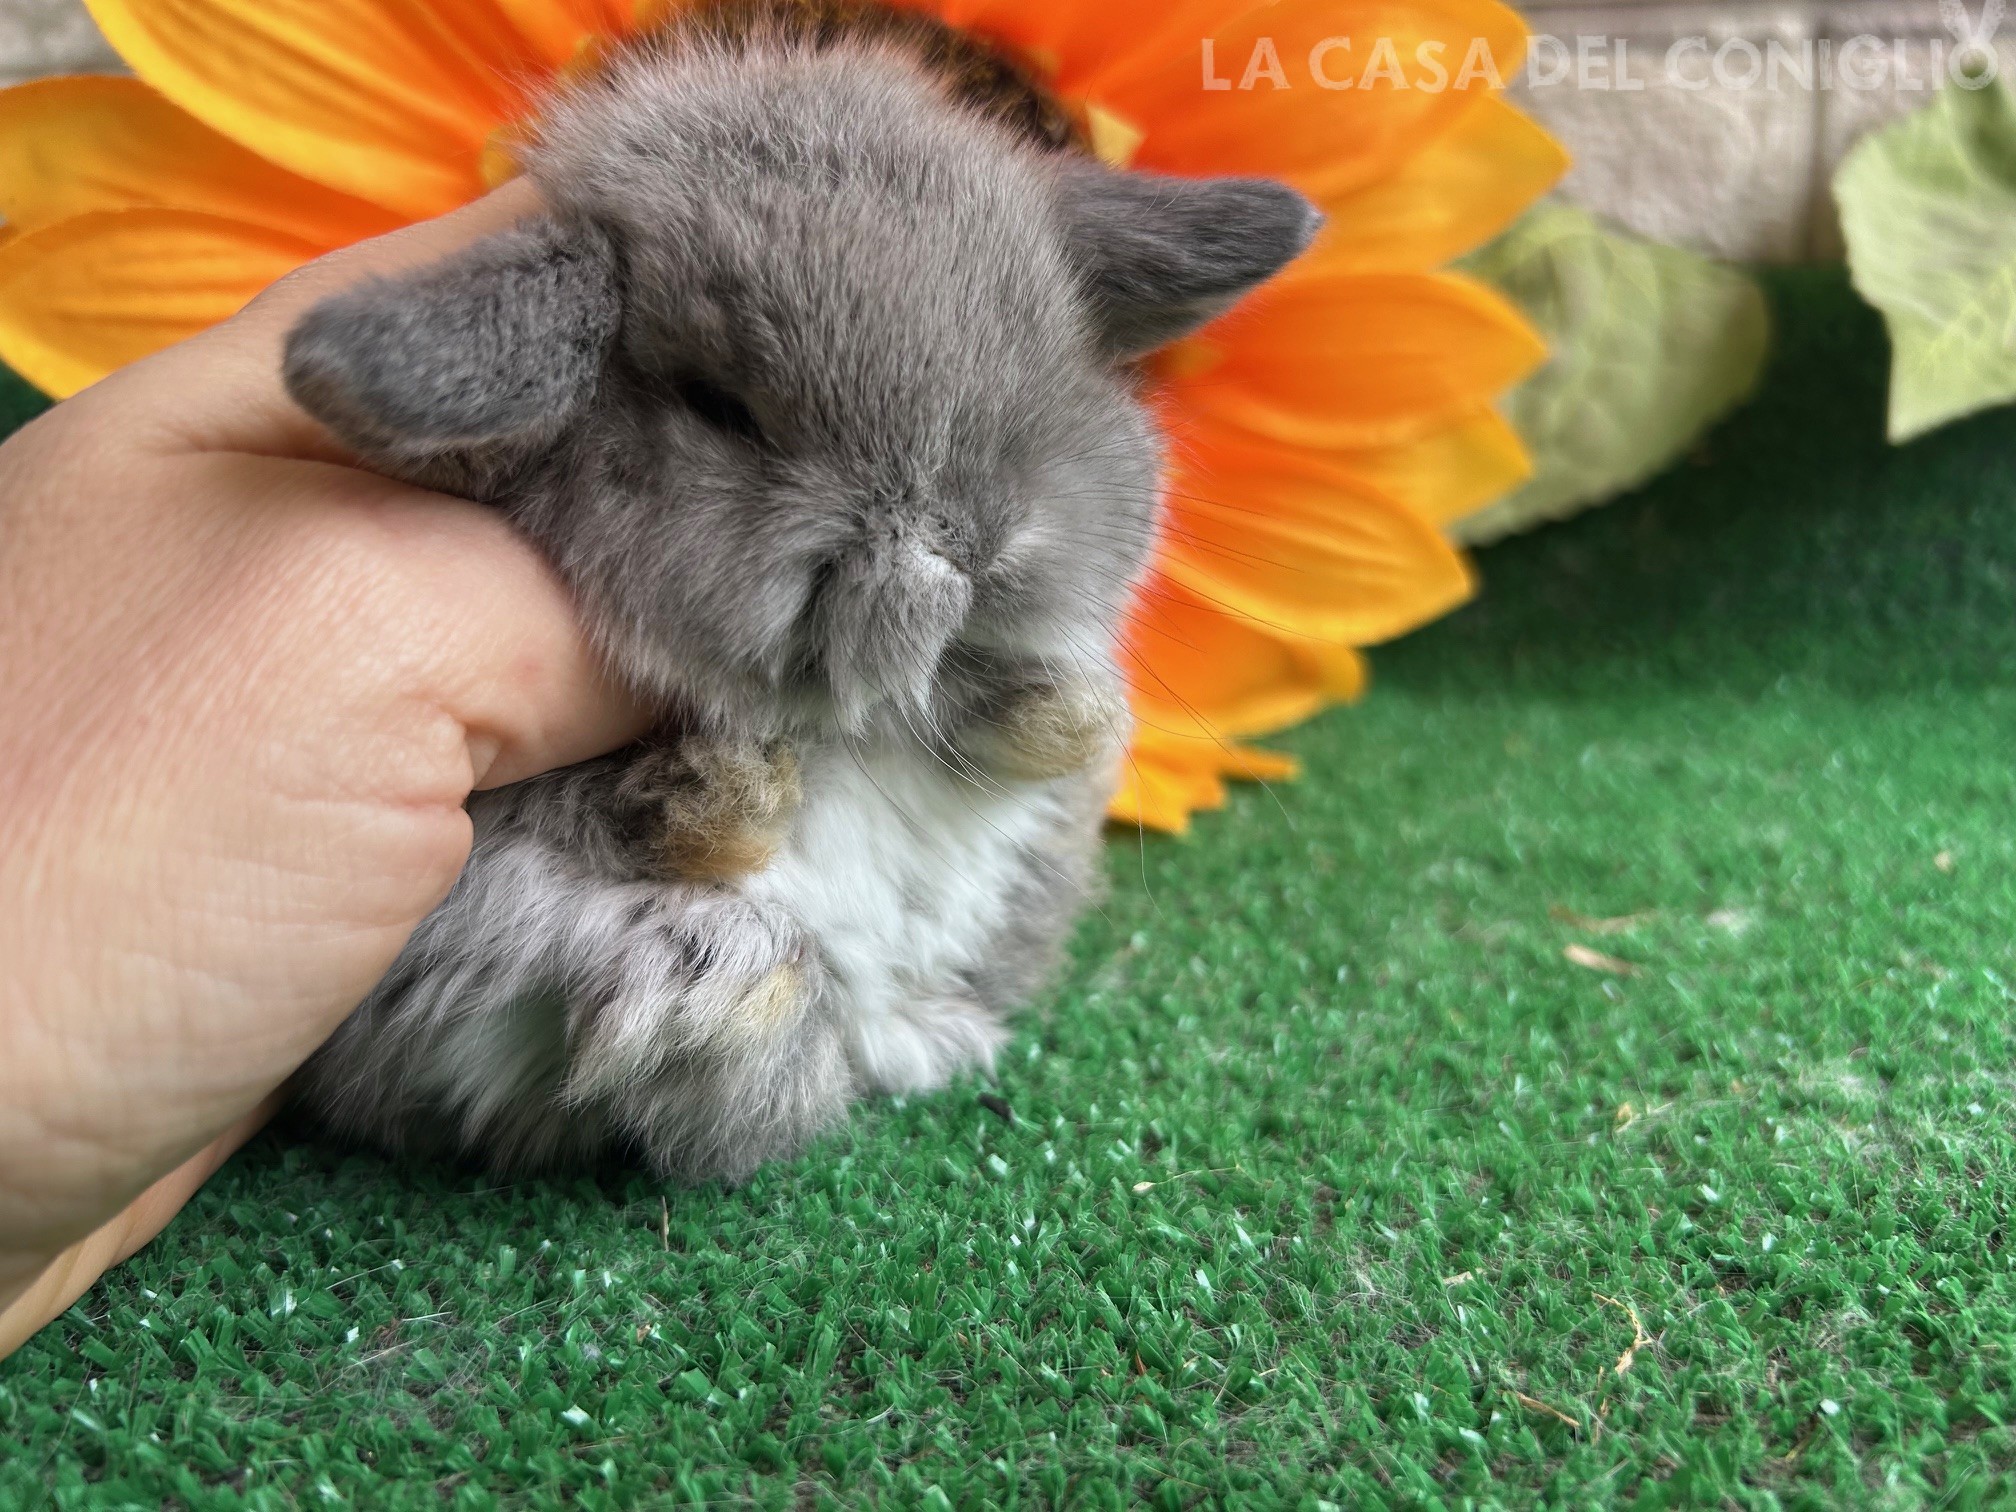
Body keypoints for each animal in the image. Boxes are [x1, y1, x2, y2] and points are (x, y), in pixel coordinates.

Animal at [280, 0, 1318, 1180]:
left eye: (1051, 351)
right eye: (719, 407)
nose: (970, 541)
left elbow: (1015, 719)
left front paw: (1066, 715)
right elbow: (621, 806)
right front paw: (734, 789)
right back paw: (740, 1000)